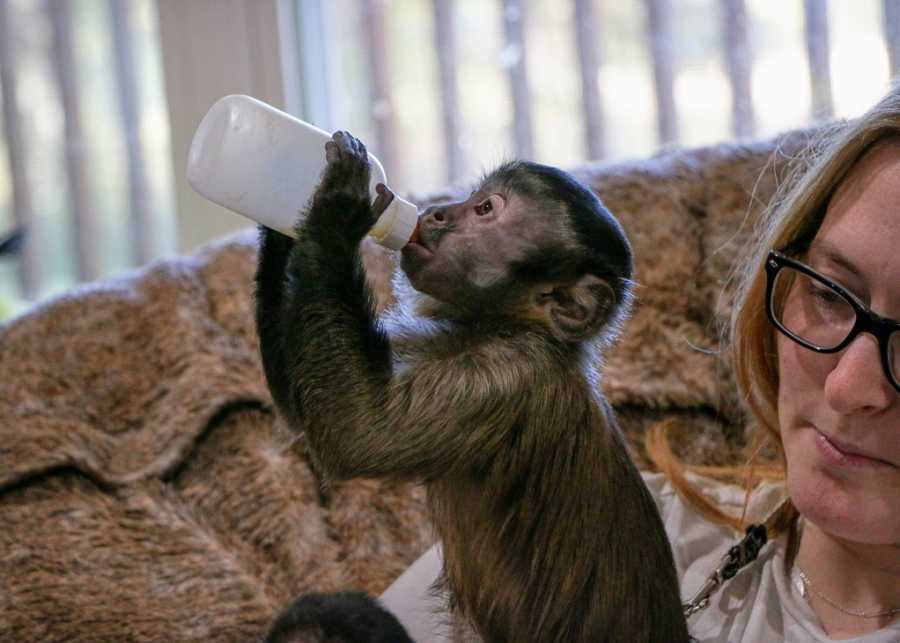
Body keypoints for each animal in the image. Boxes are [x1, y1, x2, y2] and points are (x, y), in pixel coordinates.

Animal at [253, 132, 688, 643]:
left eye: (484, 209)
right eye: (473, 199)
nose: (438, 211)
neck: (506, 326)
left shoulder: (508, 377)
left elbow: (355, 432)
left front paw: (339, 204)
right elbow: (300, 409)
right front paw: (282, 213)